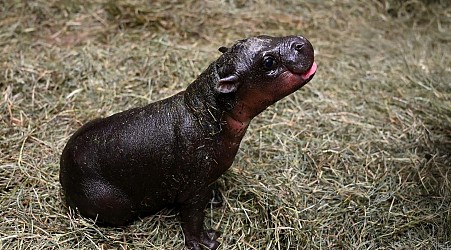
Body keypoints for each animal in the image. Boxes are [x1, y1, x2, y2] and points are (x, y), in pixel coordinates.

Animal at [60, 35, 318, 250]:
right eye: (268, 62)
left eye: (263, 35)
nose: (301, 41)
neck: (208, 108)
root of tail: (63, 170)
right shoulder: (194, 189)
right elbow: (193, 218)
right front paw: (207, 242)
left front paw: (216, 198)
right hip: (116, 204)